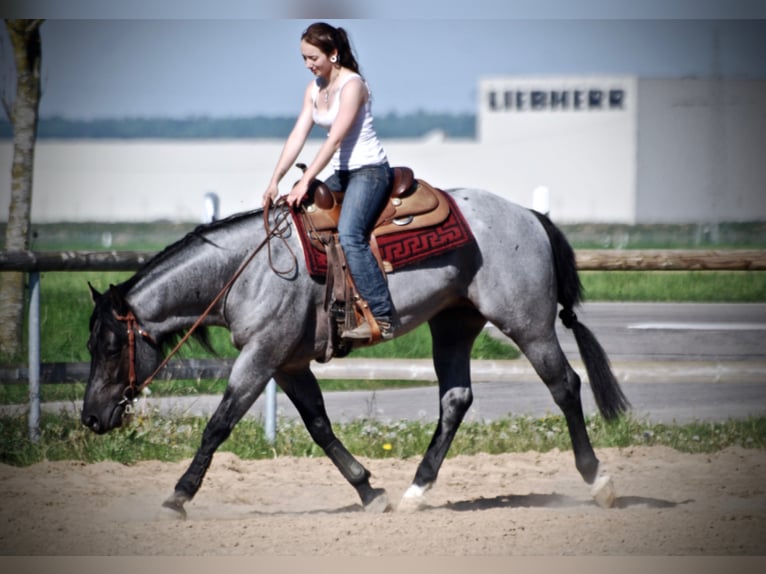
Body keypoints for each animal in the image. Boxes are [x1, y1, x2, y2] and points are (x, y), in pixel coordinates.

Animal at [81, 189, 632, 516]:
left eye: (110, 346)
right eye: (90, 345)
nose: (90, 417)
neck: (250, 270)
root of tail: (531, 217)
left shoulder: (261, 356)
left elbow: (219, 424)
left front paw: (179, 494)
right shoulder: (289, 363)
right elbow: (319, 426)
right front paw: (369, 490)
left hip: (527, 324)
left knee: (565, 385)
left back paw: (598, 481)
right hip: (454, 325)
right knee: (455, 399)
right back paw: (415, 491)